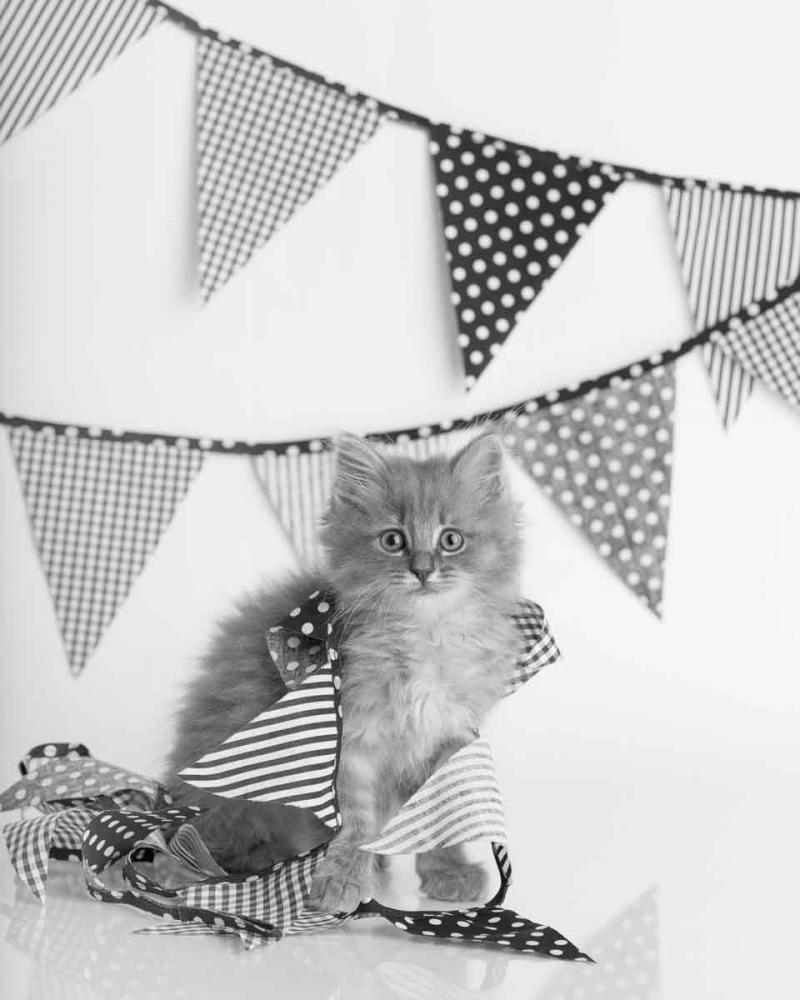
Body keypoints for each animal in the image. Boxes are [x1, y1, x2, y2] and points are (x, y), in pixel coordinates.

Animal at [165, 431, 525, 913]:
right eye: (392, 540)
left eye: (451, 540)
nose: (423, 570)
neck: (423, 635)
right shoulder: (348, 739)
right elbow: (354, 824)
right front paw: (342, 879)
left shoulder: (449, 738)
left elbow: (441, 819)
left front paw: (448, 874)